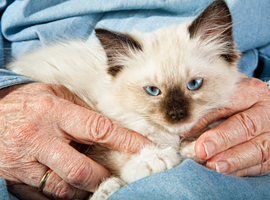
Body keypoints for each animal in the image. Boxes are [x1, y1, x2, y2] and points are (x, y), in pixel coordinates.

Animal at [7, 0, 240, 199]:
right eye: (153, 91)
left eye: (194, 84)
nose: (176, 115)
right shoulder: (97, 140)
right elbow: (118, 158)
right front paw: (156, 159)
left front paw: (194, 148)